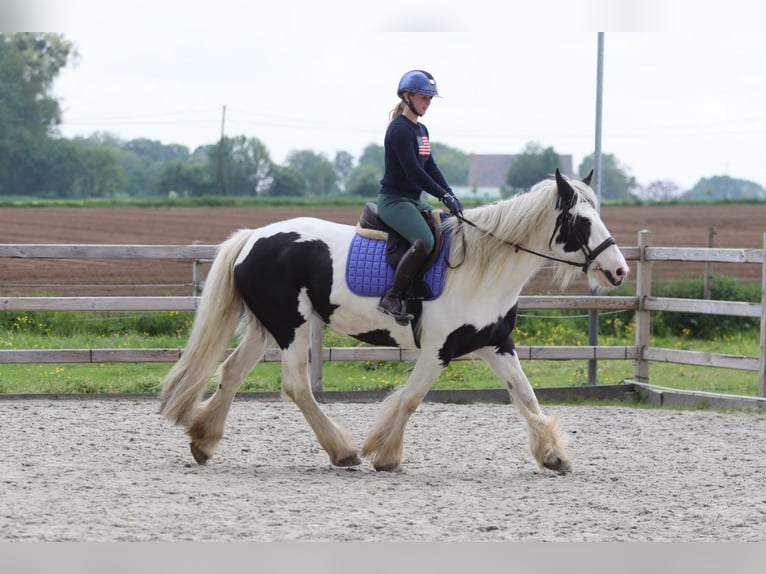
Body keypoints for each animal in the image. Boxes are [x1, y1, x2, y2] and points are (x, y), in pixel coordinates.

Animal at [159, 169, 629, 474]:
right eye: (582, 220)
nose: (619, 270)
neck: (481, 271)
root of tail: (253, 238)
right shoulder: (439, 350)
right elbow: (411, 399)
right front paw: (384, 455)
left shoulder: (495, 344)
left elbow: (526, 397)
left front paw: (553, 455)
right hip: (291, 326)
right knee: (295, 385)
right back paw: (342, 451)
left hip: (268, 327)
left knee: (233, 371)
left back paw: (203, 441)